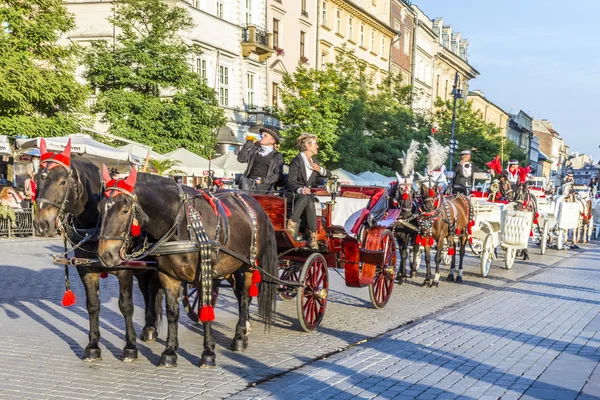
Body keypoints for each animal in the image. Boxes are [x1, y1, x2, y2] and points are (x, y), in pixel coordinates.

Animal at [33, 141, 161, 362]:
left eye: (63, 181)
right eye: (36, 178)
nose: (42, 224)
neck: (95, 223)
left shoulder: (124, 270)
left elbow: (126, 306)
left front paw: (130, 347)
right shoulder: (86, 270)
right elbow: (92, 305)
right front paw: (93, 345)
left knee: (152, 289)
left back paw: (151, 328)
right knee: (146, 290)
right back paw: (149, 326)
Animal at [97, 167, 278, 368]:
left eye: (124, 210)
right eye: (99, 208)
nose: (105, 254)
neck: (181, 223)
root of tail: (255, 204)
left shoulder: (204, 275)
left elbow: (206, 308)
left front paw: (208, 352)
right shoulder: (168, 276)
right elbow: (172, 312)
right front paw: (169, 352)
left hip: (248, 265)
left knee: (245, 295)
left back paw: (239, 336)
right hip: (230, 266)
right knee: (239, 294)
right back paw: (245, 329)